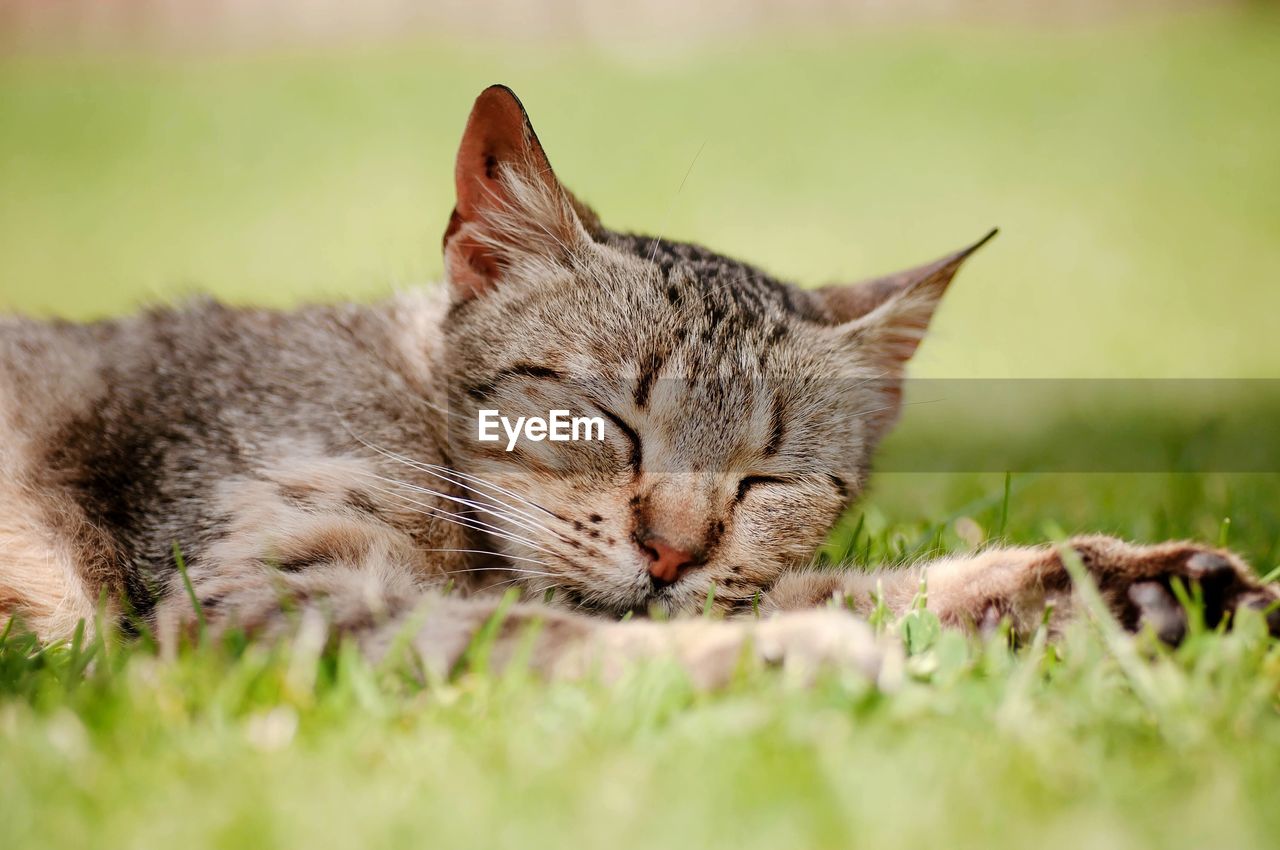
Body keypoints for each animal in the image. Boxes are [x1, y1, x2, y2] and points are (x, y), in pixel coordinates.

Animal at [0, 83, 1274, 686]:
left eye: (768, 478)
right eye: (603, 422)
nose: (672, 551)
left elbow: (875, 588)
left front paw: (1120, 587)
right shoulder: (267, 590)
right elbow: (546, 636)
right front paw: (789, 660)